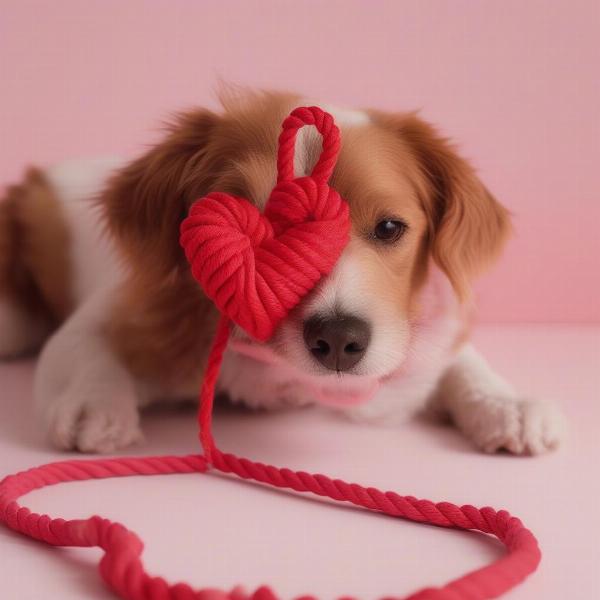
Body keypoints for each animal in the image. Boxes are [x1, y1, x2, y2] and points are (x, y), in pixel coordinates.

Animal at [0, 90, 564, 454]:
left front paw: (503, 402)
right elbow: (82, 349)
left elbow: (458, 361)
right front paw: (94, 403)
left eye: (388, 227)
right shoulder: (123, 311)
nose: (337, 339)